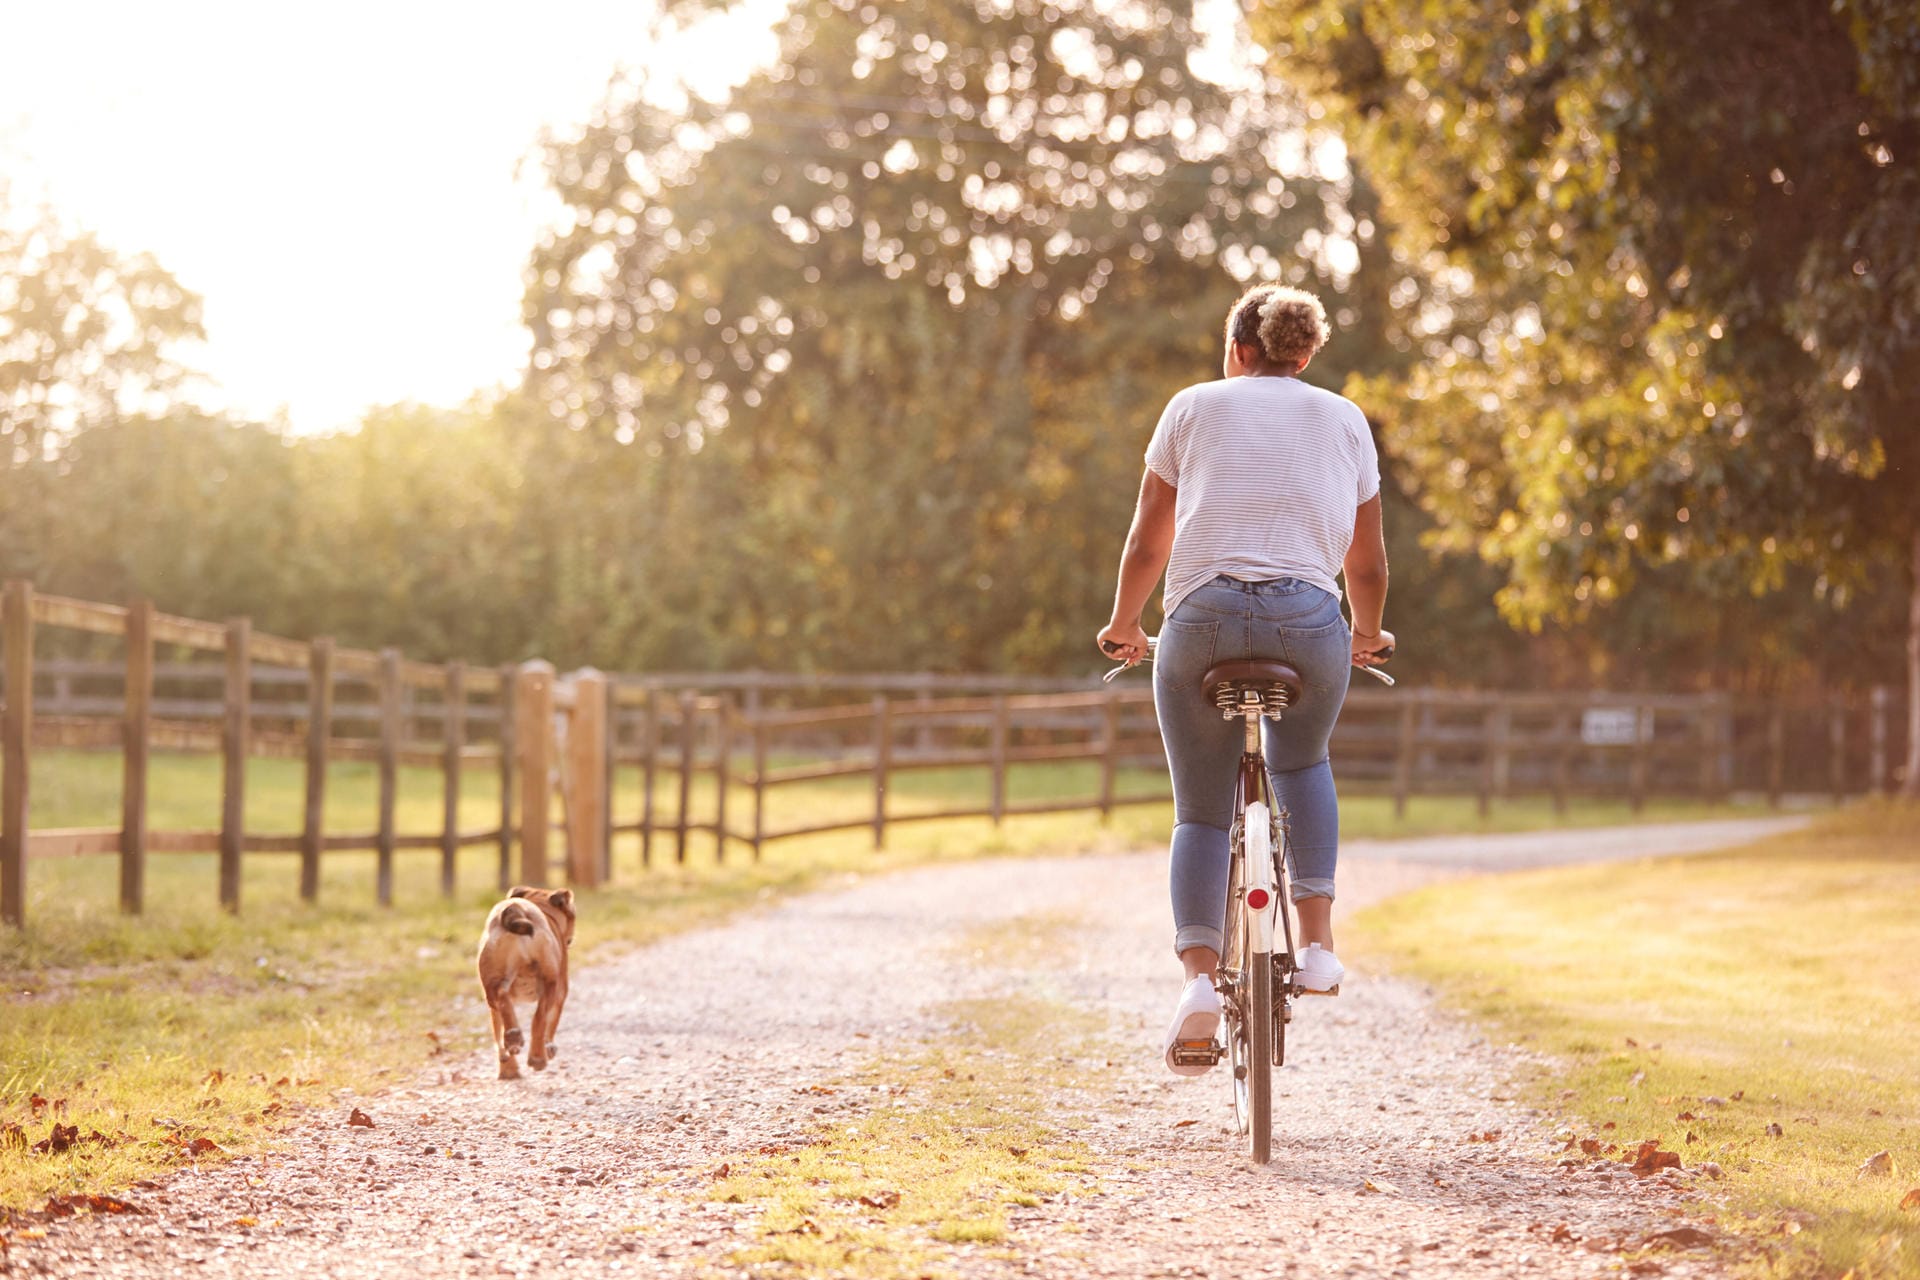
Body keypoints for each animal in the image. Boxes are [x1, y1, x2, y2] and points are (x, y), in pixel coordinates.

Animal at [476, 890, 572, 1082]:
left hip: (492, 984)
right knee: (539, 1019)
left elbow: (497, 1031)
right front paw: (549, 1047)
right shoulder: (561, 993)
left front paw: (508, 1068)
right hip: (551, 983)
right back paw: (537, 1057)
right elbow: (552, 1023)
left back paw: (513, 1038)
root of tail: (516, 909)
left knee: (502, 1000)